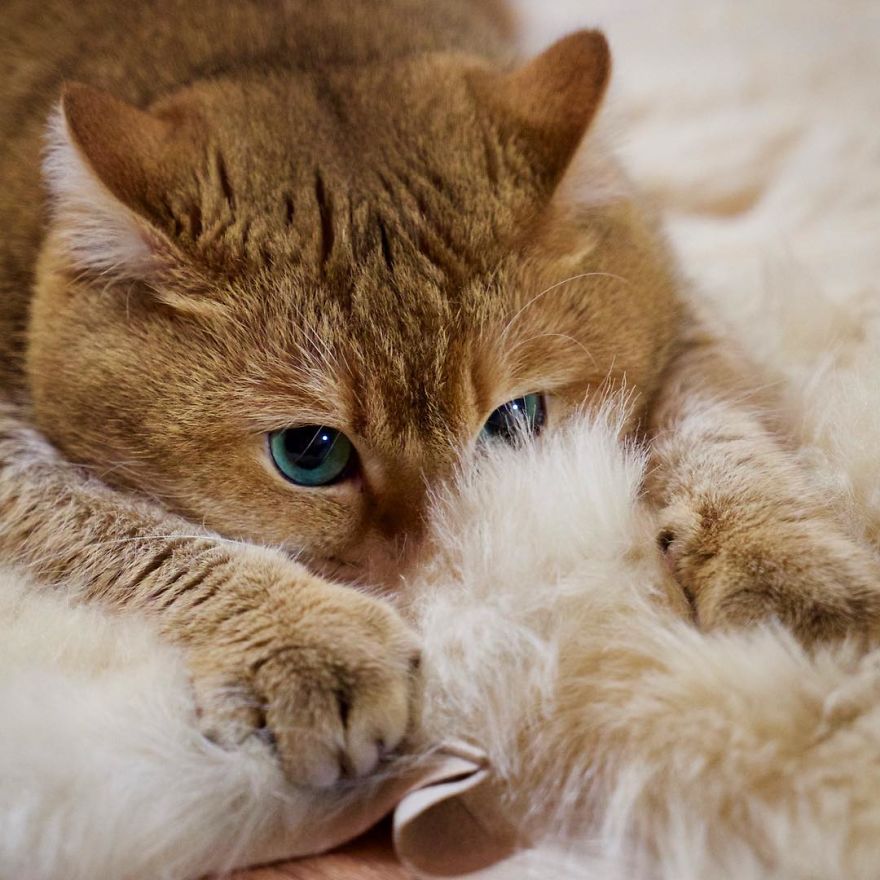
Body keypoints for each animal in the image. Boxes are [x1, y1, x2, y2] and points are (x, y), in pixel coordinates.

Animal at [1, 0, 880, 800]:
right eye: (307, 454)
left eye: (516, 421)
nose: (442, 555)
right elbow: (115, 527)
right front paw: (304, 641)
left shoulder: (679, 314)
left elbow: (723, 428)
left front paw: (787, 569)